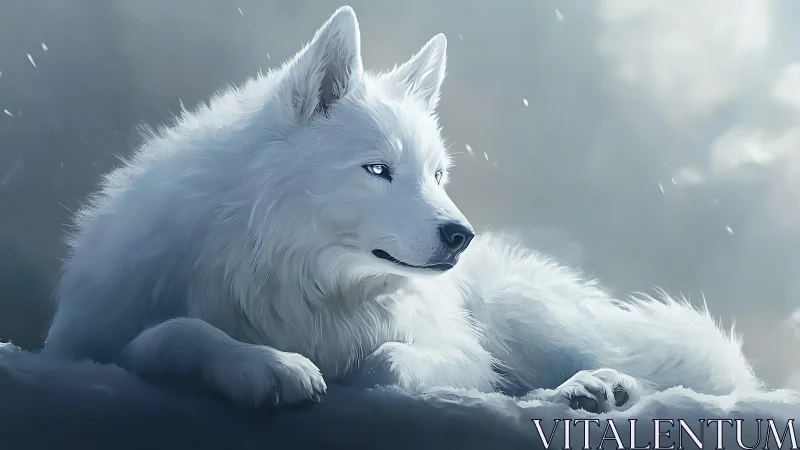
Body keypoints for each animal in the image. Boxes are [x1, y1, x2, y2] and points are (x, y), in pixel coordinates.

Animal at [44, 6, 761, 412]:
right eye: (377, 170)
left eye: (438, 174)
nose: (460, 234)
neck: (295, 276)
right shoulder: (83, 342)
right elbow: (172, 332)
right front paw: (267, 367)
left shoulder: (454, 348)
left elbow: (400, 361)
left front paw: (354, 373)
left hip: (527, 318)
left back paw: (597, 387)